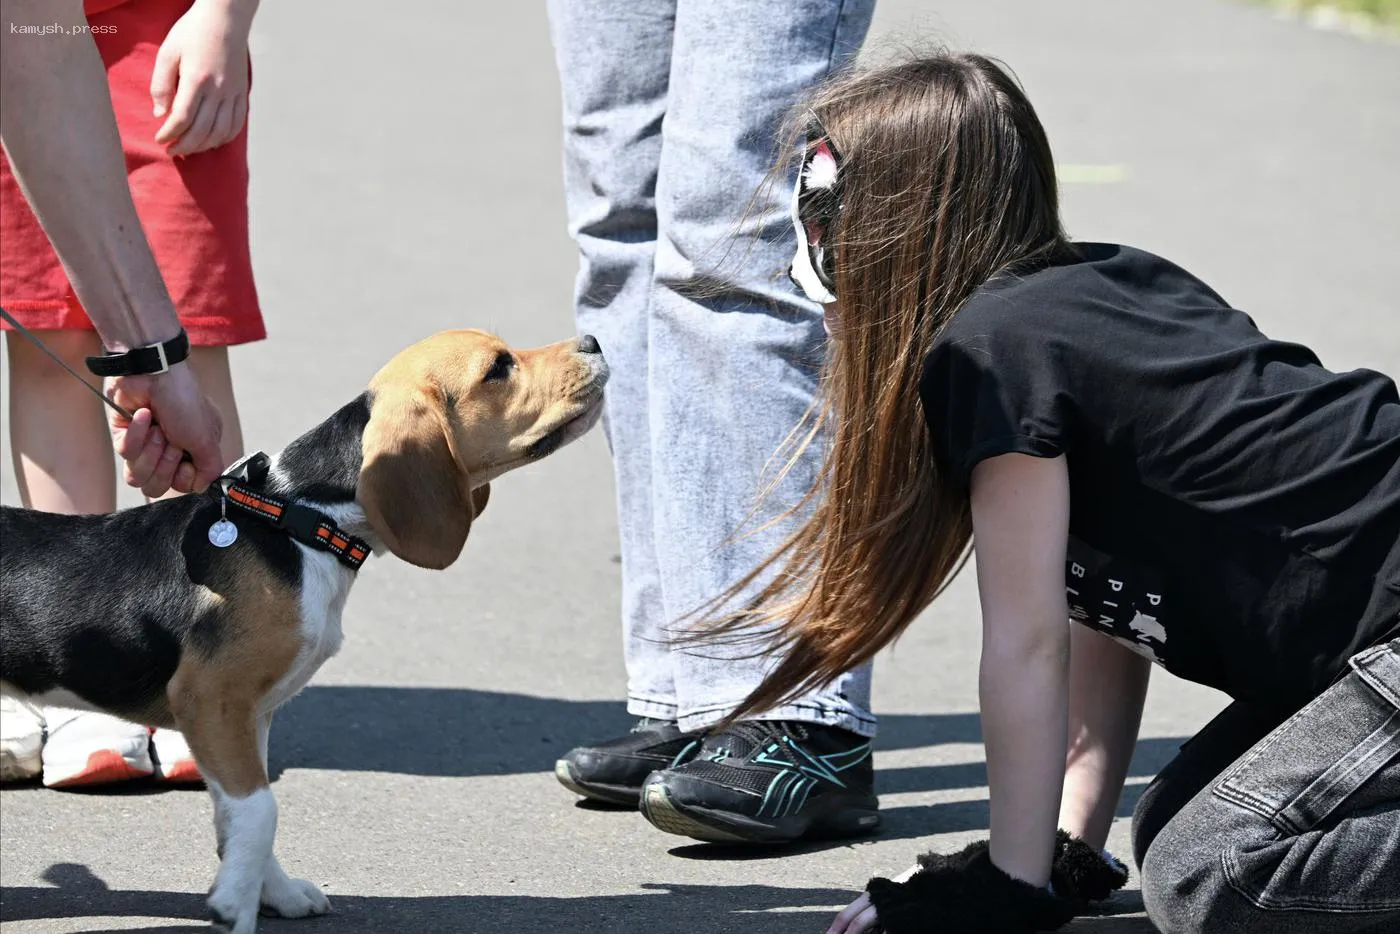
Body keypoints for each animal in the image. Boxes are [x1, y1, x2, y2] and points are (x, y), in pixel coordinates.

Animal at [2, 329, 610, 934]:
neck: (306, 520)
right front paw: (235, 905)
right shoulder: (211, 699)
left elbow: (240, 815)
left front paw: (271, 890)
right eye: (498, 368)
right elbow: (260, 809)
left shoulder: (247, 716)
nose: (593, 341)